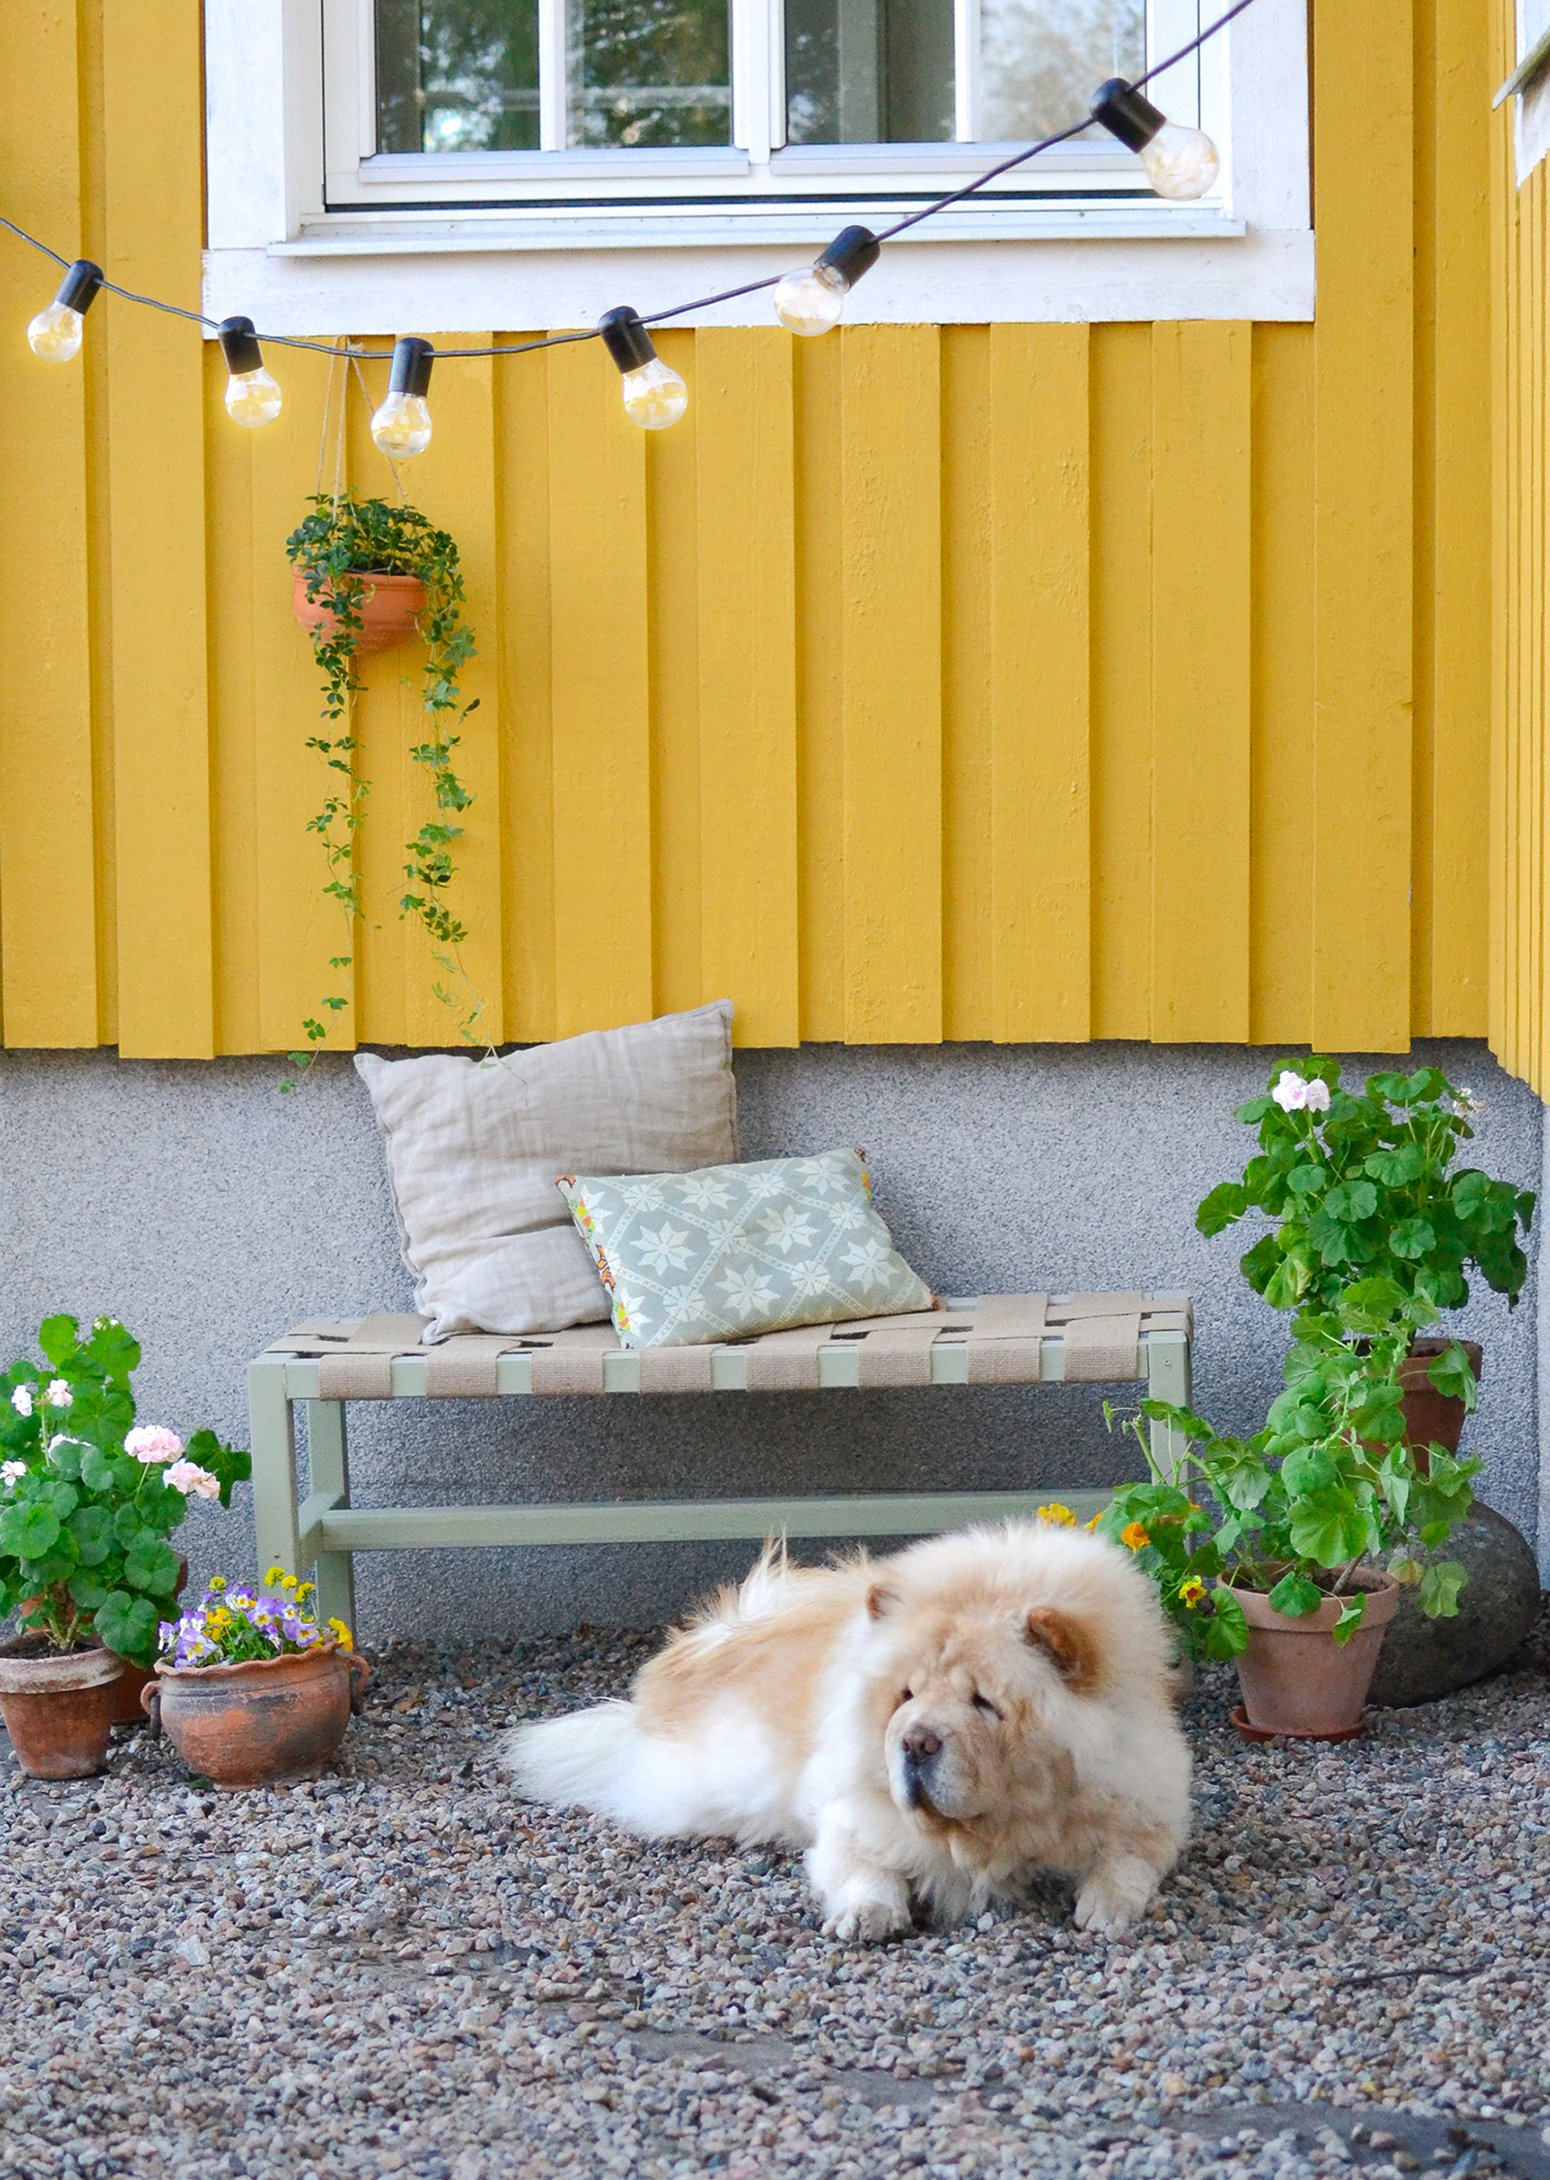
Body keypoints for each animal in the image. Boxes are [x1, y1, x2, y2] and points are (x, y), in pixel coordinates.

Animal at [500, 1521, 1191, 1940]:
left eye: (983, 1702)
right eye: (906, 1696)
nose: (916, 1742)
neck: (993, 1834)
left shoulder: (1147, 1801)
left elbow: (1129, 1859)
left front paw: (1103, 1908)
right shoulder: (853, 1817)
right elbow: (864, 1868)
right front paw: (866, 1915)